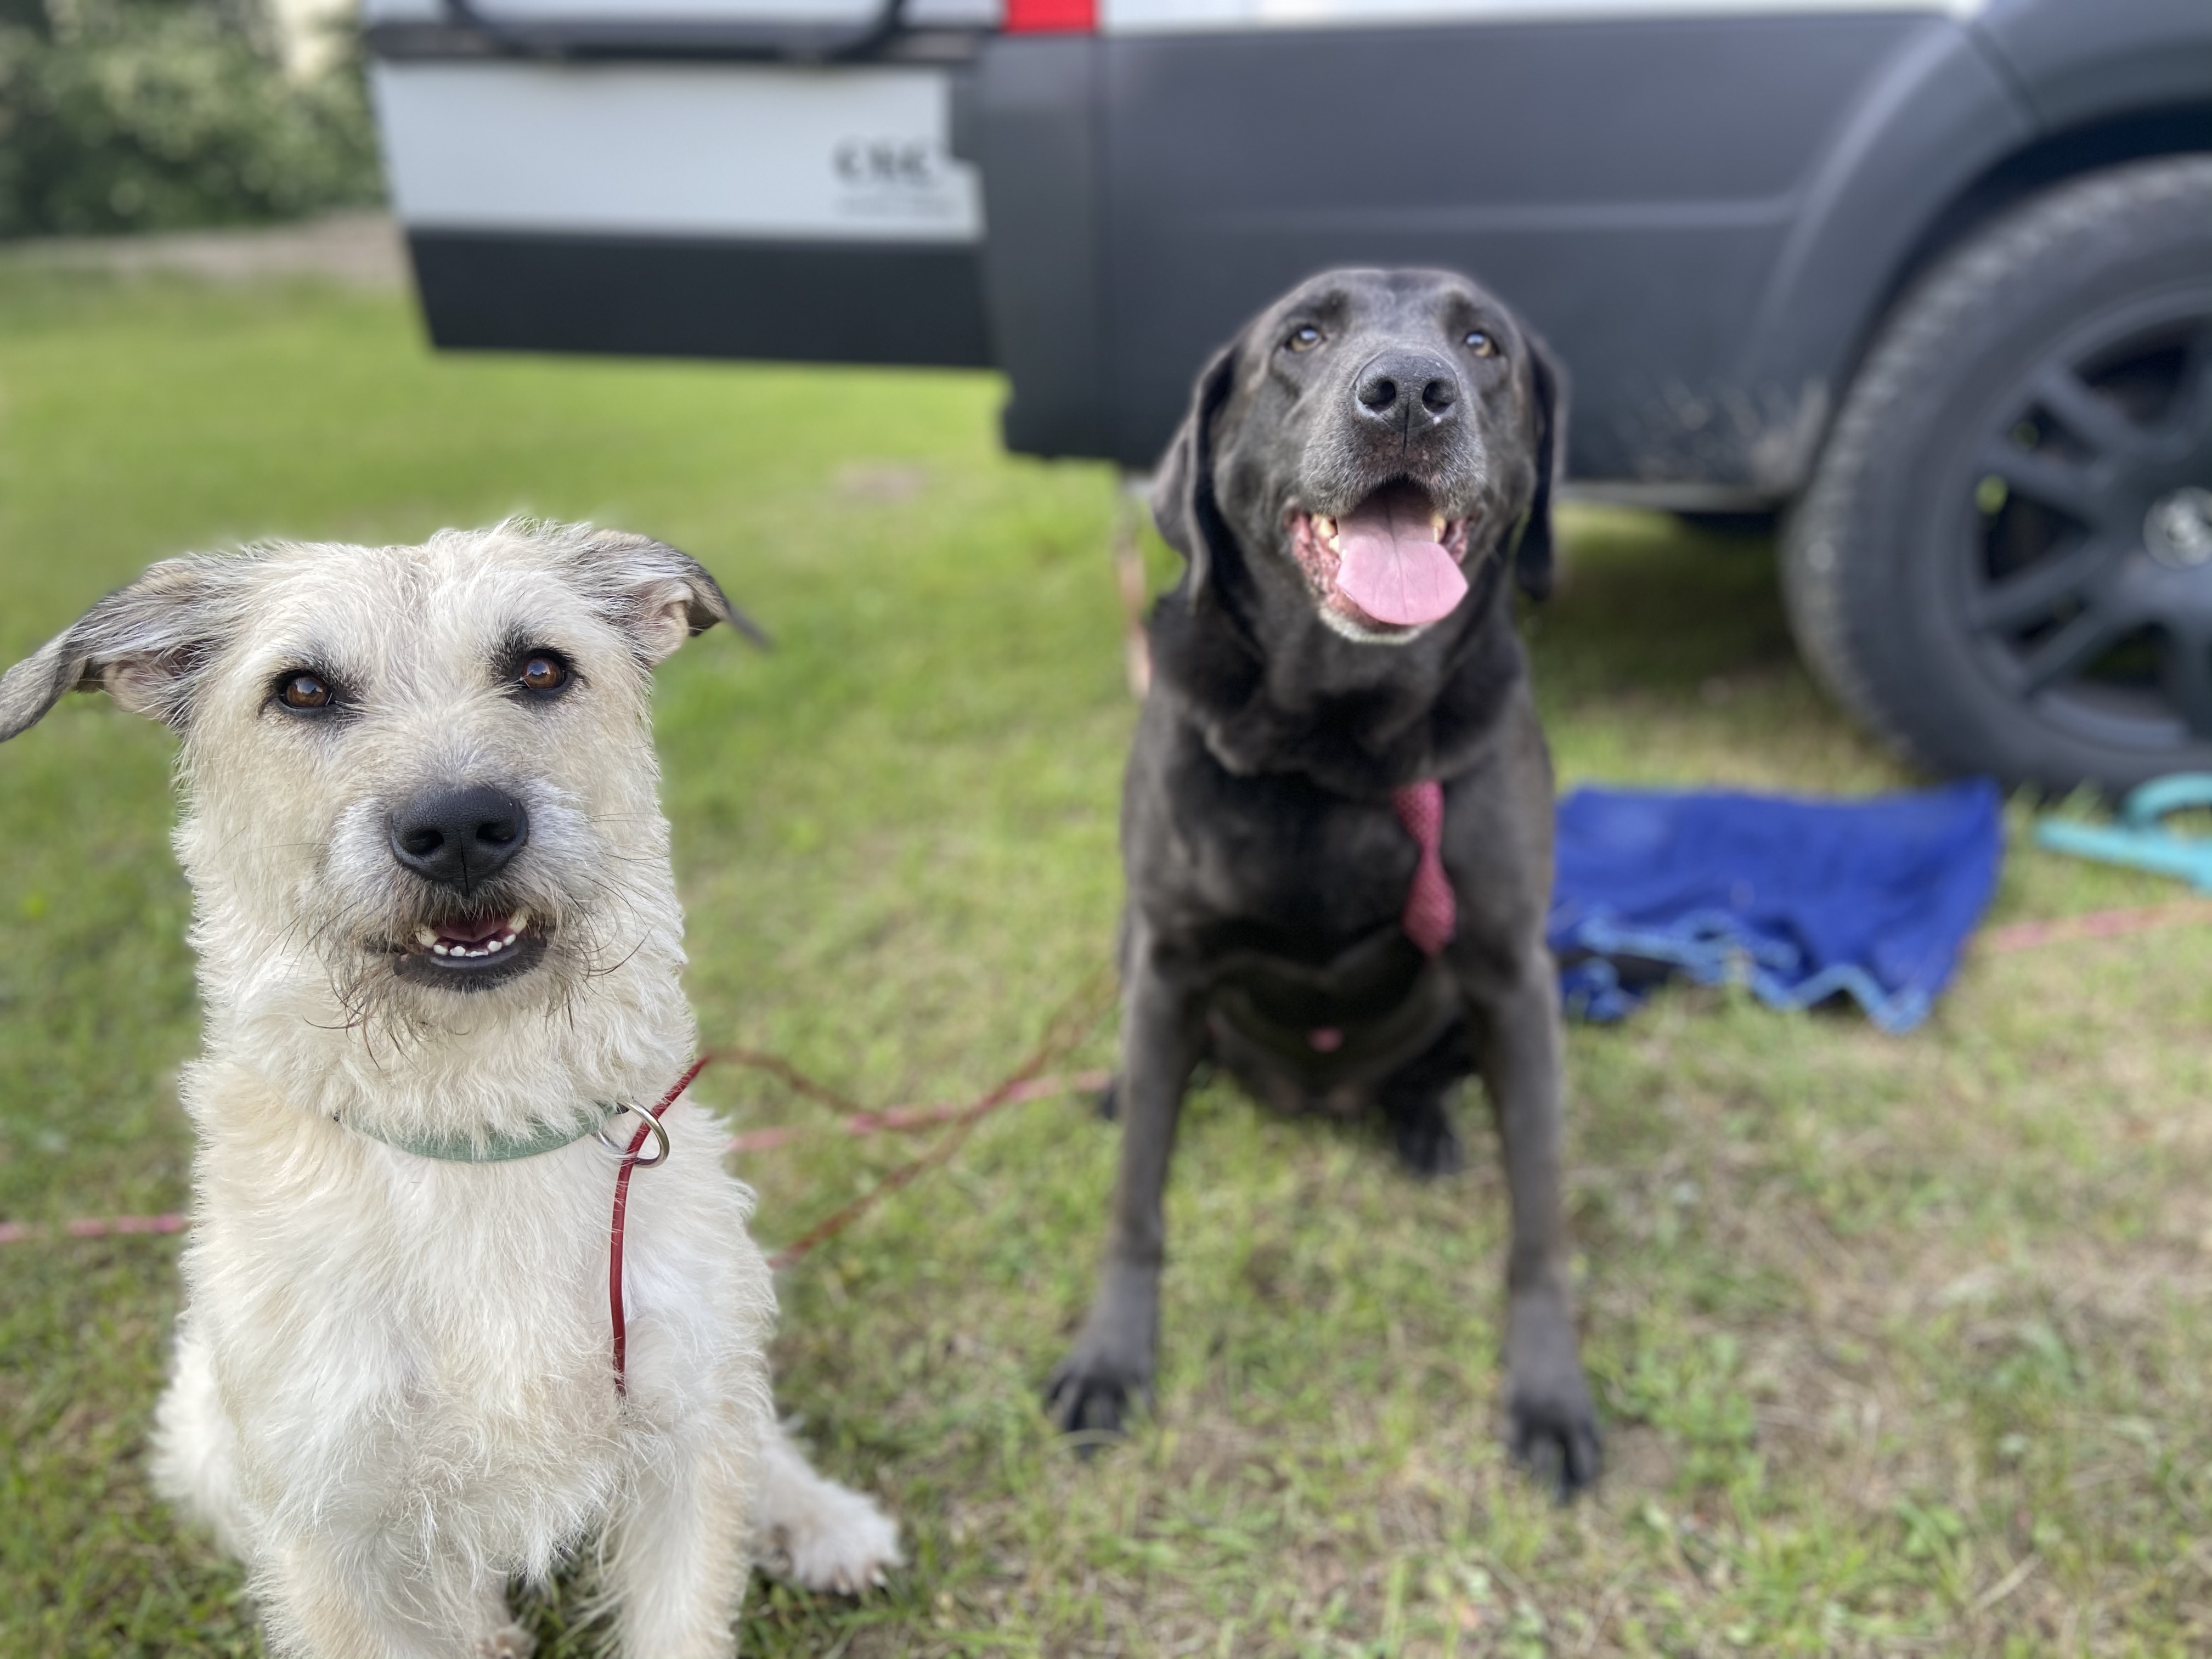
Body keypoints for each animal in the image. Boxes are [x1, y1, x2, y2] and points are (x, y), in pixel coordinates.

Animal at [2, 522, 898, 1659]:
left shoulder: (680, 1445)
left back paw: (822, 1516)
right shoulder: (331, 1525)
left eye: (541, 668)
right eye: (302, 689)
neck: (476, 1116)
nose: (464, 824)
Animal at [1044, 269, 1601, 1495]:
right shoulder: (1168, 957)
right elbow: (1135, 1199)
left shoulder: (1512, 974)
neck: (1341, 734)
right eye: (1302, 337)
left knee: (1430, 1079)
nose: (1410, 395)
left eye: (1481, 343)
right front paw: (1111, 1356)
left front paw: (1549, 1393)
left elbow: (1539, 1222)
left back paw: (1425, 1129)